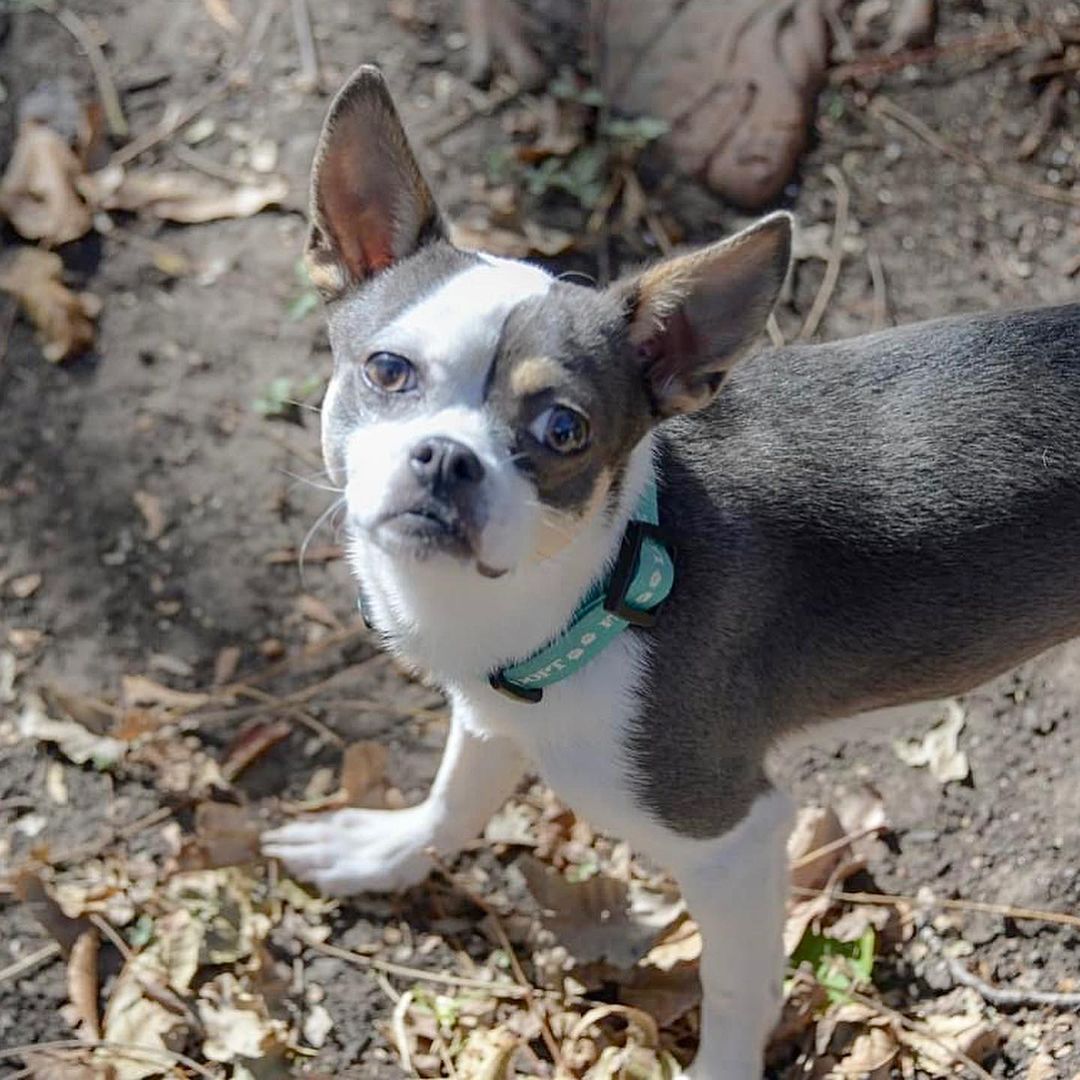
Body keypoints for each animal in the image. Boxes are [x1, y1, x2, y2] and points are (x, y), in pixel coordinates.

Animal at [265, 69, 1080, 1080]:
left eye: (563, 430)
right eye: (386, 370)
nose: (448, 459)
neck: (595, 584)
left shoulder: (734, 837)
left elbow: (736, 990)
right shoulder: (489, 715)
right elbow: (457, 794)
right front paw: (386, 852)